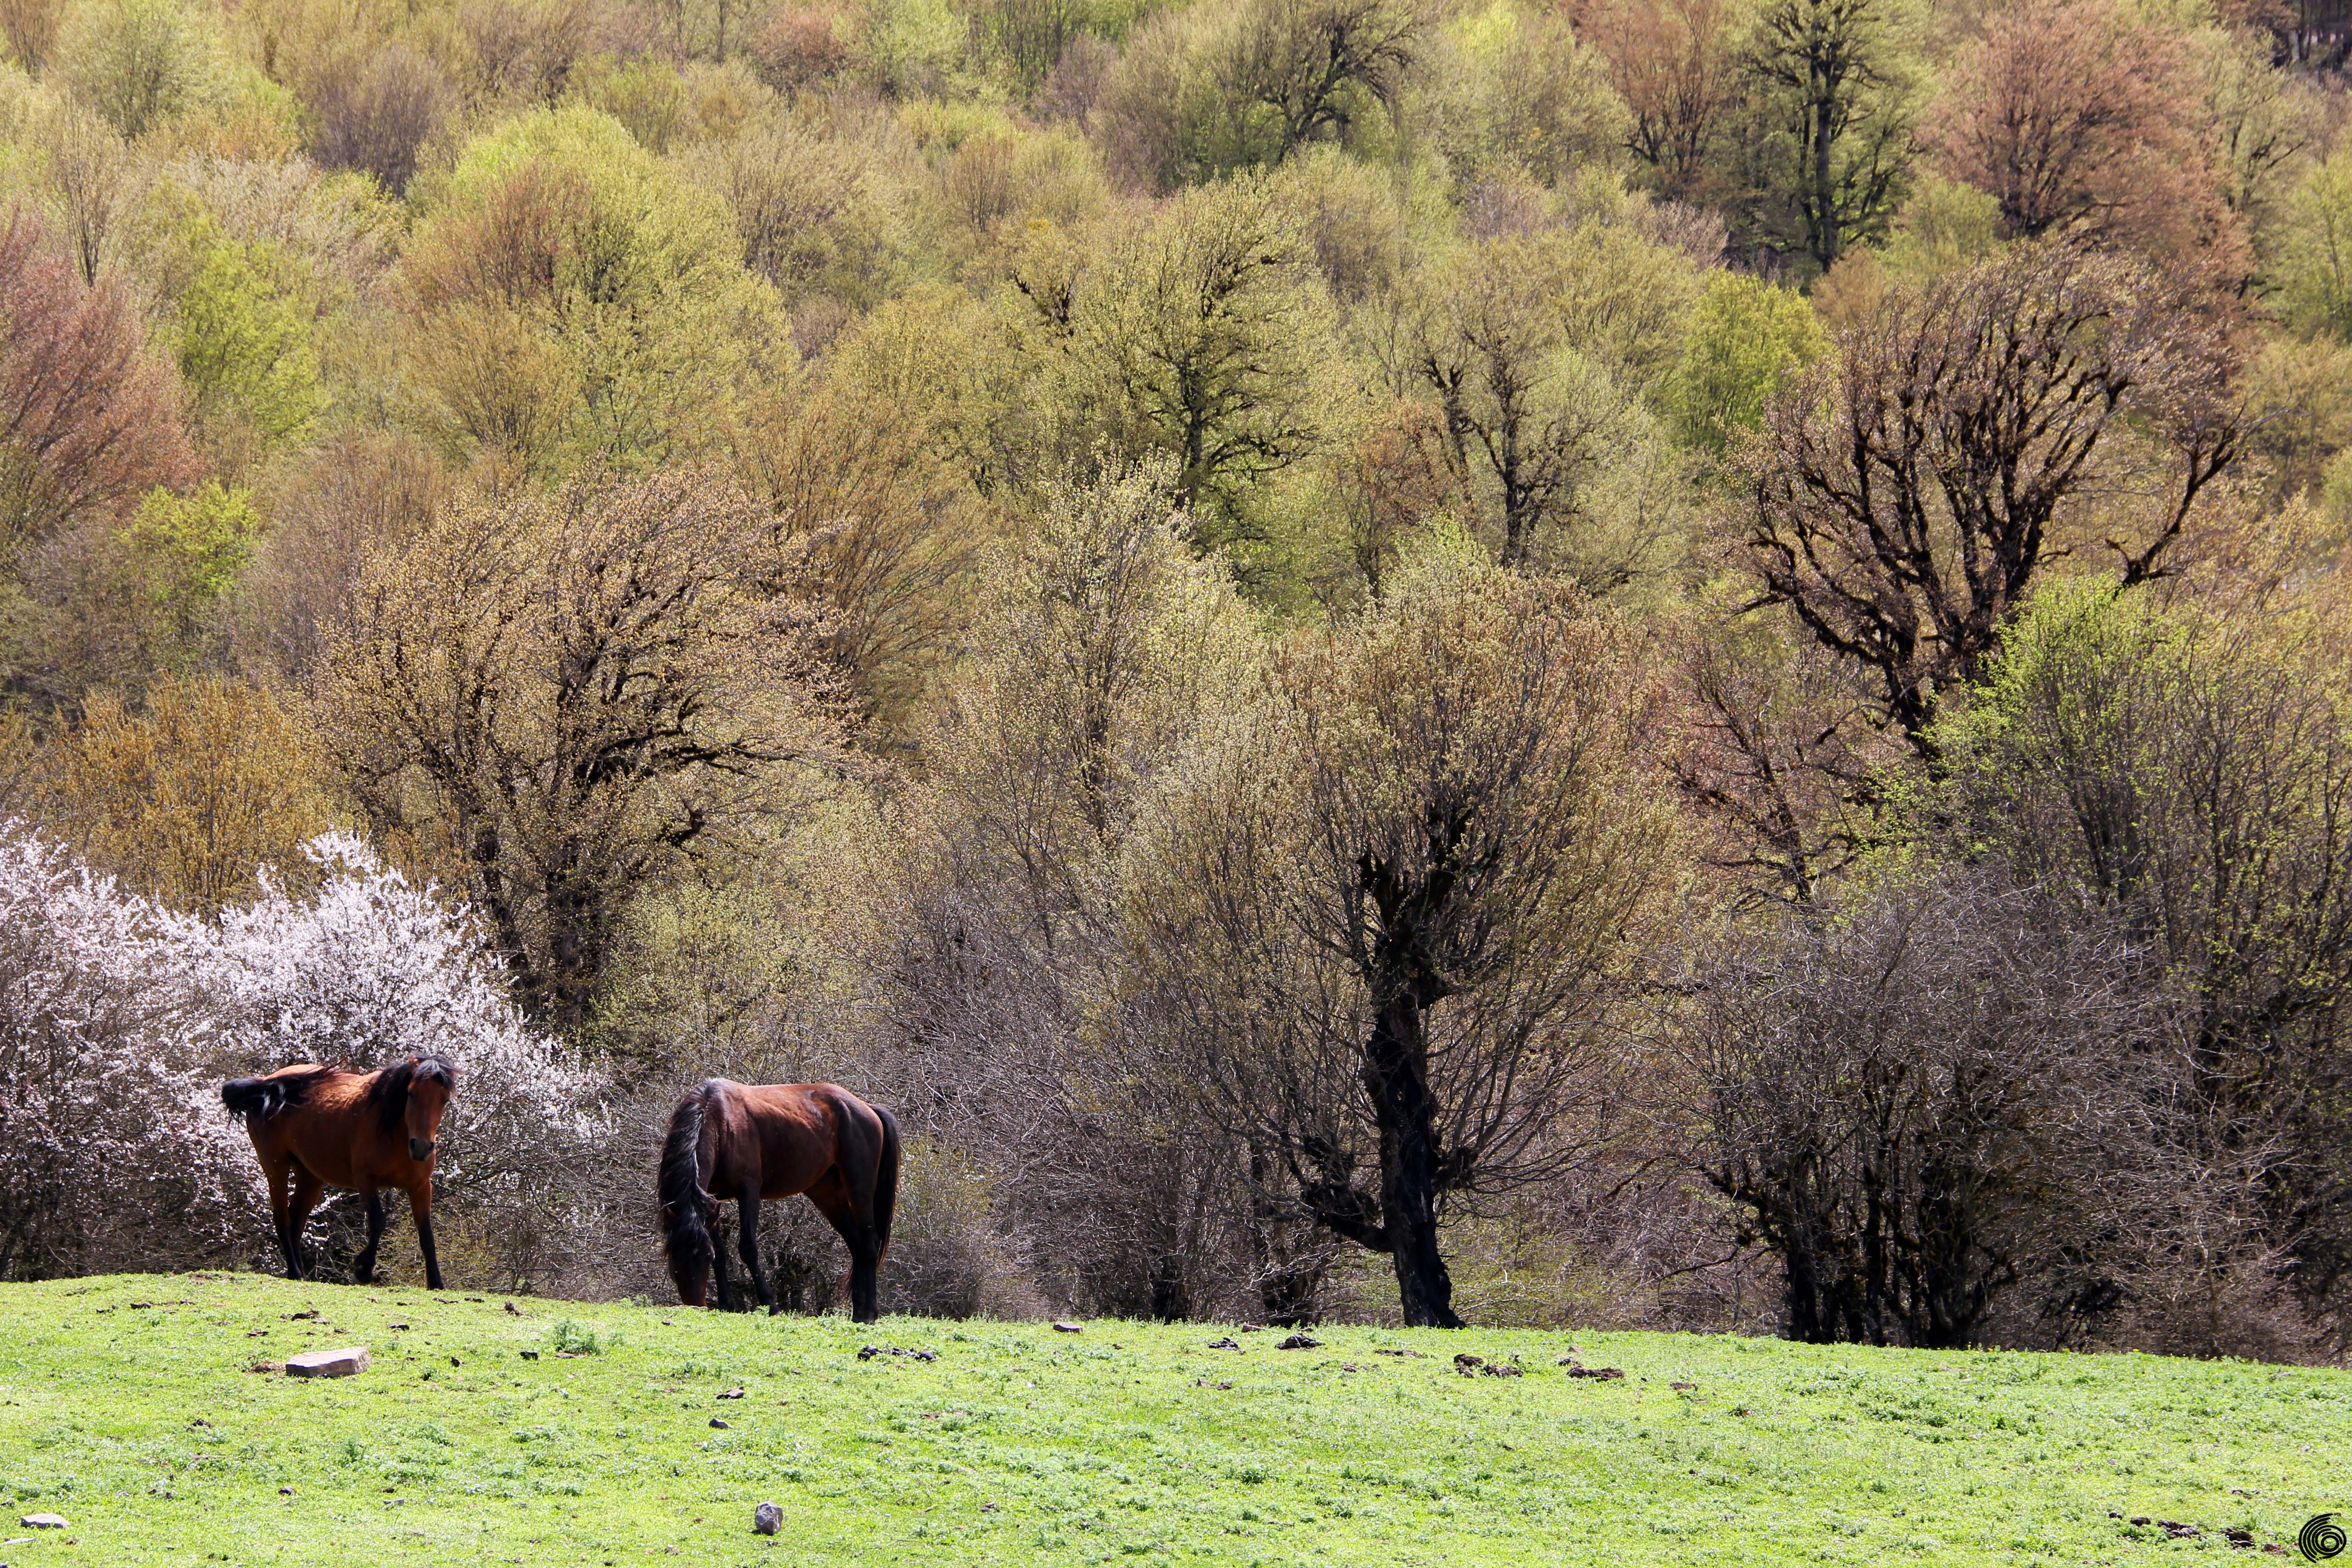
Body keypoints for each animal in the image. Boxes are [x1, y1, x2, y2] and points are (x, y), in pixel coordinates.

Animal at [221, 1062, 458, 1298]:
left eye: (445, 1099)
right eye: (411, 1093)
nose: (421, 1147)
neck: (391, 1129)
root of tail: (269, 1084)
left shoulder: (420, 1187)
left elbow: (426, 1234)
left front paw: (436, 1282)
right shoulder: (366, 1181)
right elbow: (378, 1222)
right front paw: (363, 1270)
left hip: (310, 1177)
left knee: (296, 1221)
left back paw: (301, 1274)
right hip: (275, 1166)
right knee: (283, 1219)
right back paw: (294, 1272)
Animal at [663, 1081, 898, 1326]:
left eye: (705, 1257)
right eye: (672, 1256)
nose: (695, 1306)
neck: (721, 1120)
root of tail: (867, 1109)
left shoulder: (749, 1191)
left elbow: (748, 1248)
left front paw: (770, 1304)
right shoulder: (710, 1200)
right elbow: (722, 1250)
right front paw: (726, 1305)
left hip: (860, 1186)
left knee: (869, 1242)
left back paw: (869, 1312)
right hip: (827, 1193)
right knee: (856, 1244)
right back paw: (858, 1311)